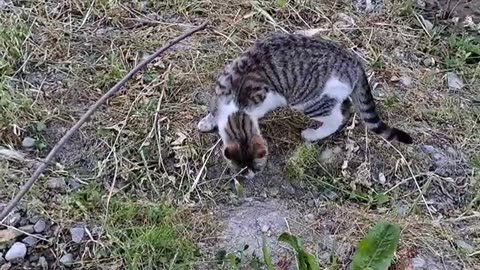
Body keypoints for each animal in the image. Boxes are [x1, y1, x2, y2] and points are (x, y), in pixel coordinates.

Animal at [196, 32, 412, 178]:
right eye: (240, 169)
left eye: (255, 167)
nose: (250, 177)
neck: (237, 108)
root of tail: (354, 61)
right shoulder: (221, 89)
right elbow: (213, 112)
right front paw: (207, 122)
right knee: (346, 107)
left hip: (309, 101)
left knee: (338, 117)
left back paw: (313, 134)